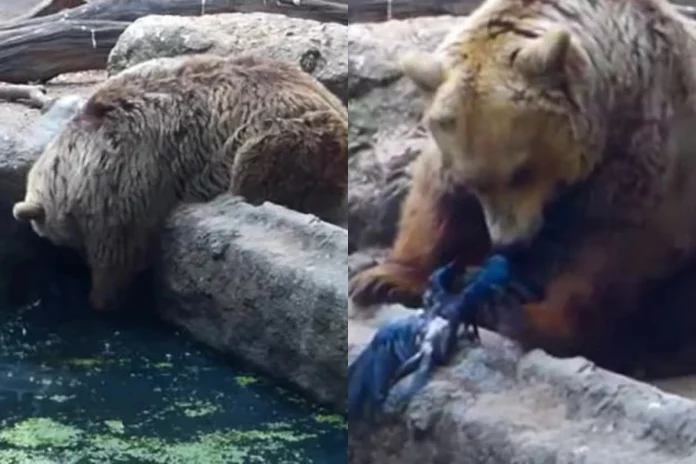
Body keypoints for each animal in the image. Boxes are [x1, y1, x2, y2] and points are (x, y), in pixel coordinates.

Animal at [13, 53, 348, 312]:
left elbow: (119, 248)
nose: (70, 259)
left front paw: (102, 297)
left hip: (283, 136)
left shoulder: (128, 173)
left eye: (56, 238)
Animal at [349, 0, 696, 378]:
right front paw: (383, 280)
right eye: (474, 182)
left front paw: (523, 315)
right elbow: (437, 203)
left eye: (522, 171)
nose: (508, 242)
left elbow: (608, 252)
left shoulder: (643, 154)